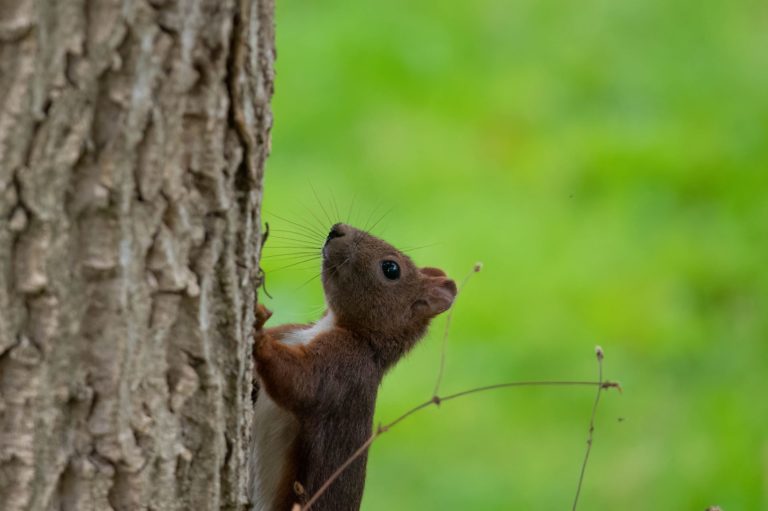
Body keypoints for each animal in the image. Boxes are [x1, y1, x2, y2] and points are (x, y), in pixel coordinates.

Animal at [250, 224, 456, 511]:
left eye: (391, 269)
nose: (337, 229)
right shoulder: (290, 332)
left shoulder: (344, 369)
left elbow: (302, 384)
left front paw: (258, 332)